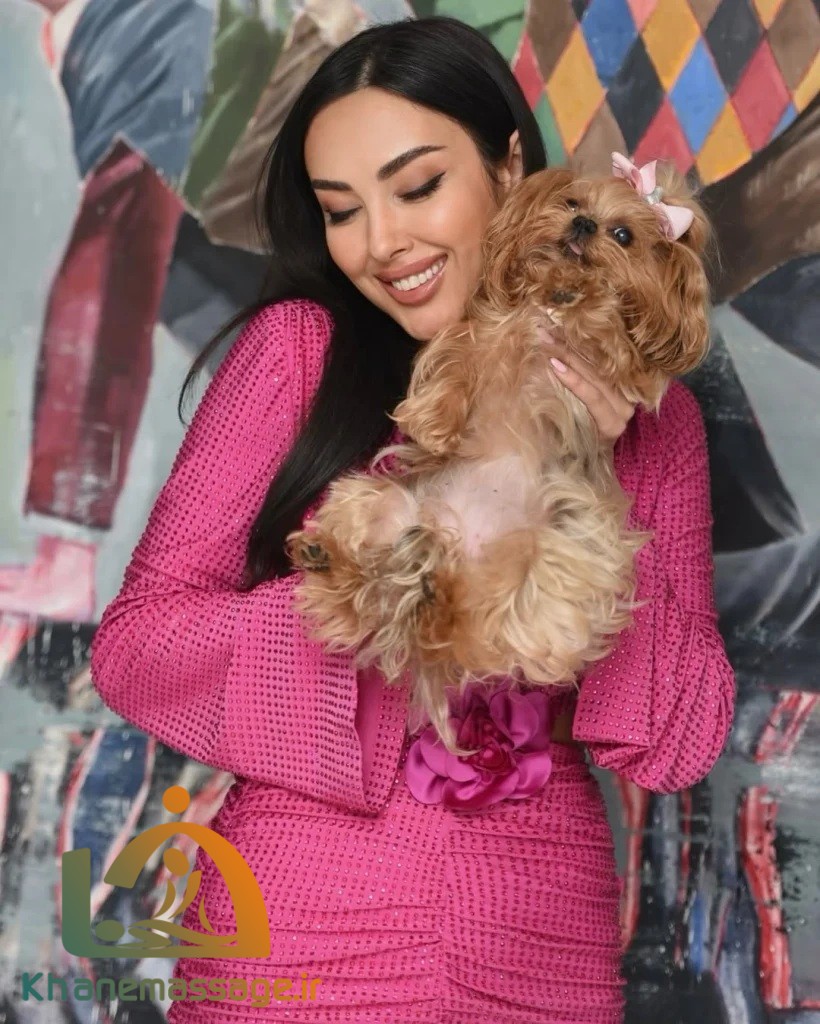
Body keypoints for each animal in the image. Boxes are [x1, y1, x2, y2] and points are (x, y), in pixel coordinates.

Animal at [285, 154, 713, 753]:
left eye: (624, 235)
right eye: (573, 203)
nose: (582, 226)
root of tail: (454, 550)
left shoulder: (617, 363)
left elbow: (611, 329)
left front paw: (587, 297)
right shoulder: (480, 333)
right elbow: (456, 368)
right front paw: (434, 423)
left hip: (560, 569)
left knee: (468, 625)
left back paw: (434, 600)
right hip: (376, 501)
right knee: (373, 590)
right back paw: (336, 561)